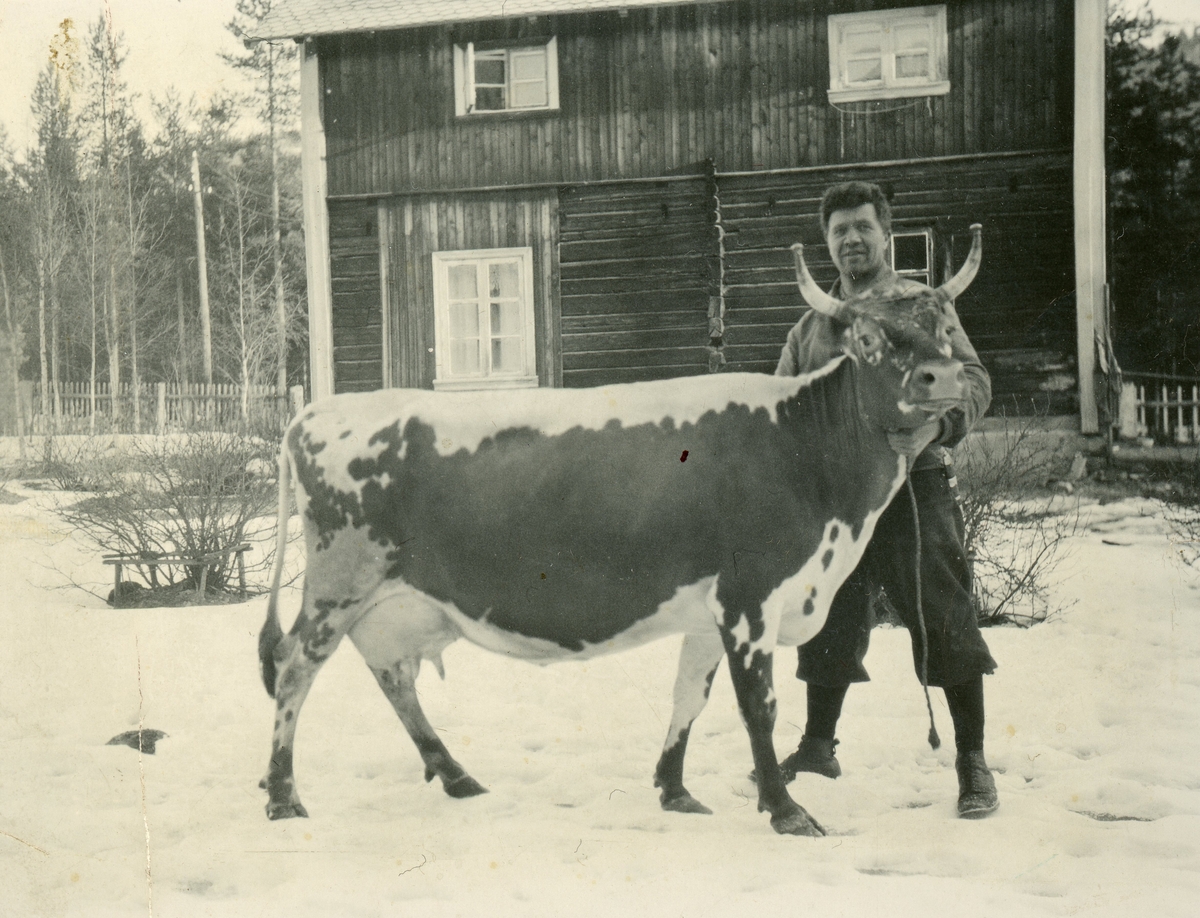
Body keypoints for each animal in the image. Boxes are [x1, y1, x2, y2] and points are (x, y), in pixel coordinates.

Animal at [258, 225, 979, 835]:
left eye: (945, 328)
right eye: (869, 339)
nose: (943, 377)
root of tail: (315, 413)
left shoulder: (709, 608)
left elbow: (690, 695)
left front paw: (675, 790)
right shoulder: (749, 598)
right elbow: (758, 705)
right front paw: (785, 809)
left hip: (391, 599)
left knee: (391, 674)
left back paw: (457, 776)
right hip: (339, 581)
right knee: (295, 669)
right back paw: (284, 796)